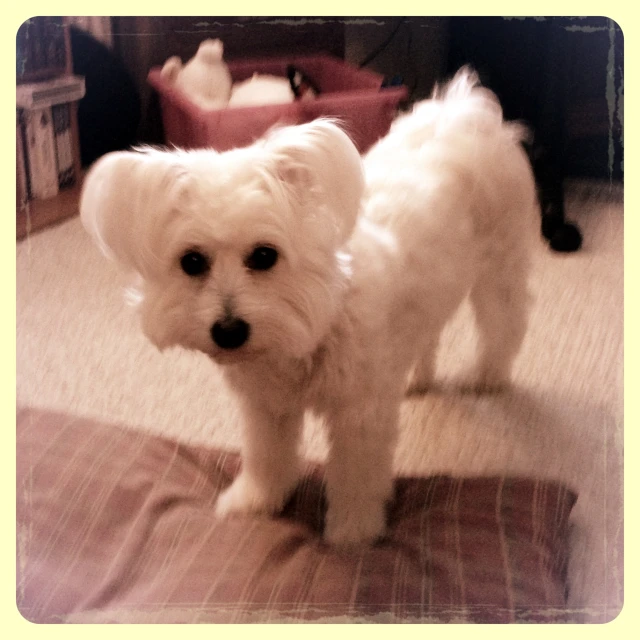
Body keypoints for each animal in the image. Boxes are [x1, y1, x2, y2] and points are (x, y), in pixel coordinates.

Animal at [80, 69, 540, 544]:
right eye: (191, 262)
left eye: (265, 255)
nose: (228, 331)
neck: (315, 321)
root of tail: (461, 113)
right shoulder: (267, 410)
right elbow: (266, 460)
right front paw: (254, 502)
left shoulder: (359, 419)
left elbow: (355, 480)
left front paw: (353, 534)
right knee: (428, 336)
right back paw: (416, 378)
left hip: (500, 270)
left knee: (506, 326)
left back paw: (486, 378)